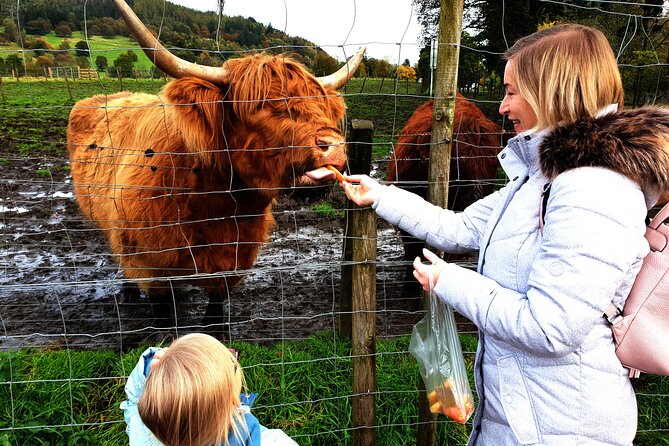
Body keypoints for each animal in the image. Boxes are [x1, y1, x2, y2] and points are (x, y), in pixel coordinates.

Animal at [66, 0, 364, 329]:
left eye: (321, 105)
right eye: (260, 104)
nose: (333, 146)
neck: (214, 203)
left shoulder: (233, 260)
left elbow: (215, 311)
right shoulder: (151, 264)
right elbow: (164, 317)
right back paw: (128, 292)